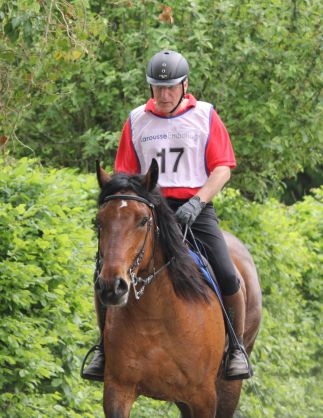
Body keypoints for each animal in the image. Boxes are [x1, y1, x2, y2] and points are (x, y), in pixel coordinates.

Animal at [95, 159, 262, 418]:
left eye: (143, 220)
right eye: (99, 222)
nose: (112, 286)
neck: (155, 317)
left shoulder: (203, 398)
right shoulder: (117, 391)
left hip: (228, 387)